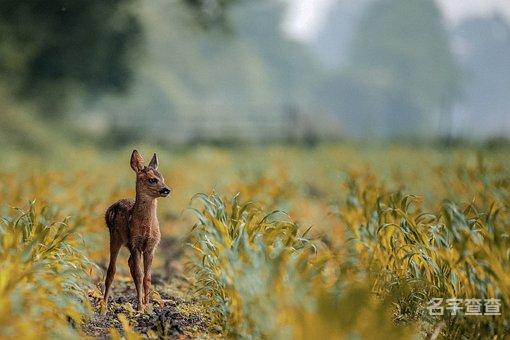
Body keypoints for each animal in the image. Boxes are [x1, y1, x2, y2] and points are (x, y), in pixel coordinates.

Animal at [103, 150, 171, 312]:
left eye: (162, 178)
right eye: (152, 180)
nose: (166, 189)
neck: (146, 228)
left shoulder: (151, 246)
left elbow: (147, 277)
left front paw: (147, 306)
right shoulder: (135, 243)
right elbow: (140, 275)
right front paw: (140, 308)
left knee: (130, 265)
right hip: (115, 238)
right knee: (112, 270)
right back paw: (104, 307)